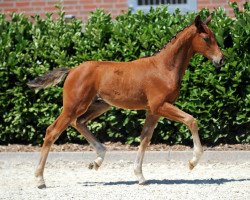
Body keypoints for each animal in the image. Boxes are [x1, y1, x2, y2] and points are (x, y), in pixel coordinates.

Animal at [27, 14, 225, 188]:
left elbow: (145, 139)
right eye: (206, 38)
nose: (221, 59)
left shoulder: (153, 111)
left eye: (214, 37)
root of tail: (72, 70)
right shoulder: (160, 106)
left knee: (79, 122)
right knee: (52, 131)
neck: (164, 68)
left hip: (99, 105)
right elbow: (191, 120)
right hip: (73, 106)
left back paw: (98, 159)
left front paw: (140, 176)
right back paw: (39, 179)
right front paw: (192, 161)